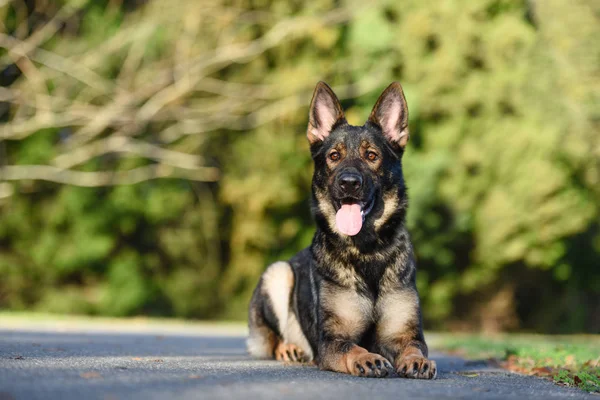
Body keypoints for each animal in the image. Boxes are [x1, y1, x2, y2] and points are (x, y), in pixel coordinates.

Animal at [246, 81, 438, 378]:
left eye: (371, 156)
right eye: (334, 156)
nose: (349, 183)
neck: (366, 251)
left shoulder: (405, 335)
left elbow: (414, 348)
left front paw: (417, 361)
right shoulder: (333, 340)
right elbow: (353, 348)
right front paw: (367, 358)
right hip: (278, 273)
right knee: (273, 340)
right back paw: (289, 349)